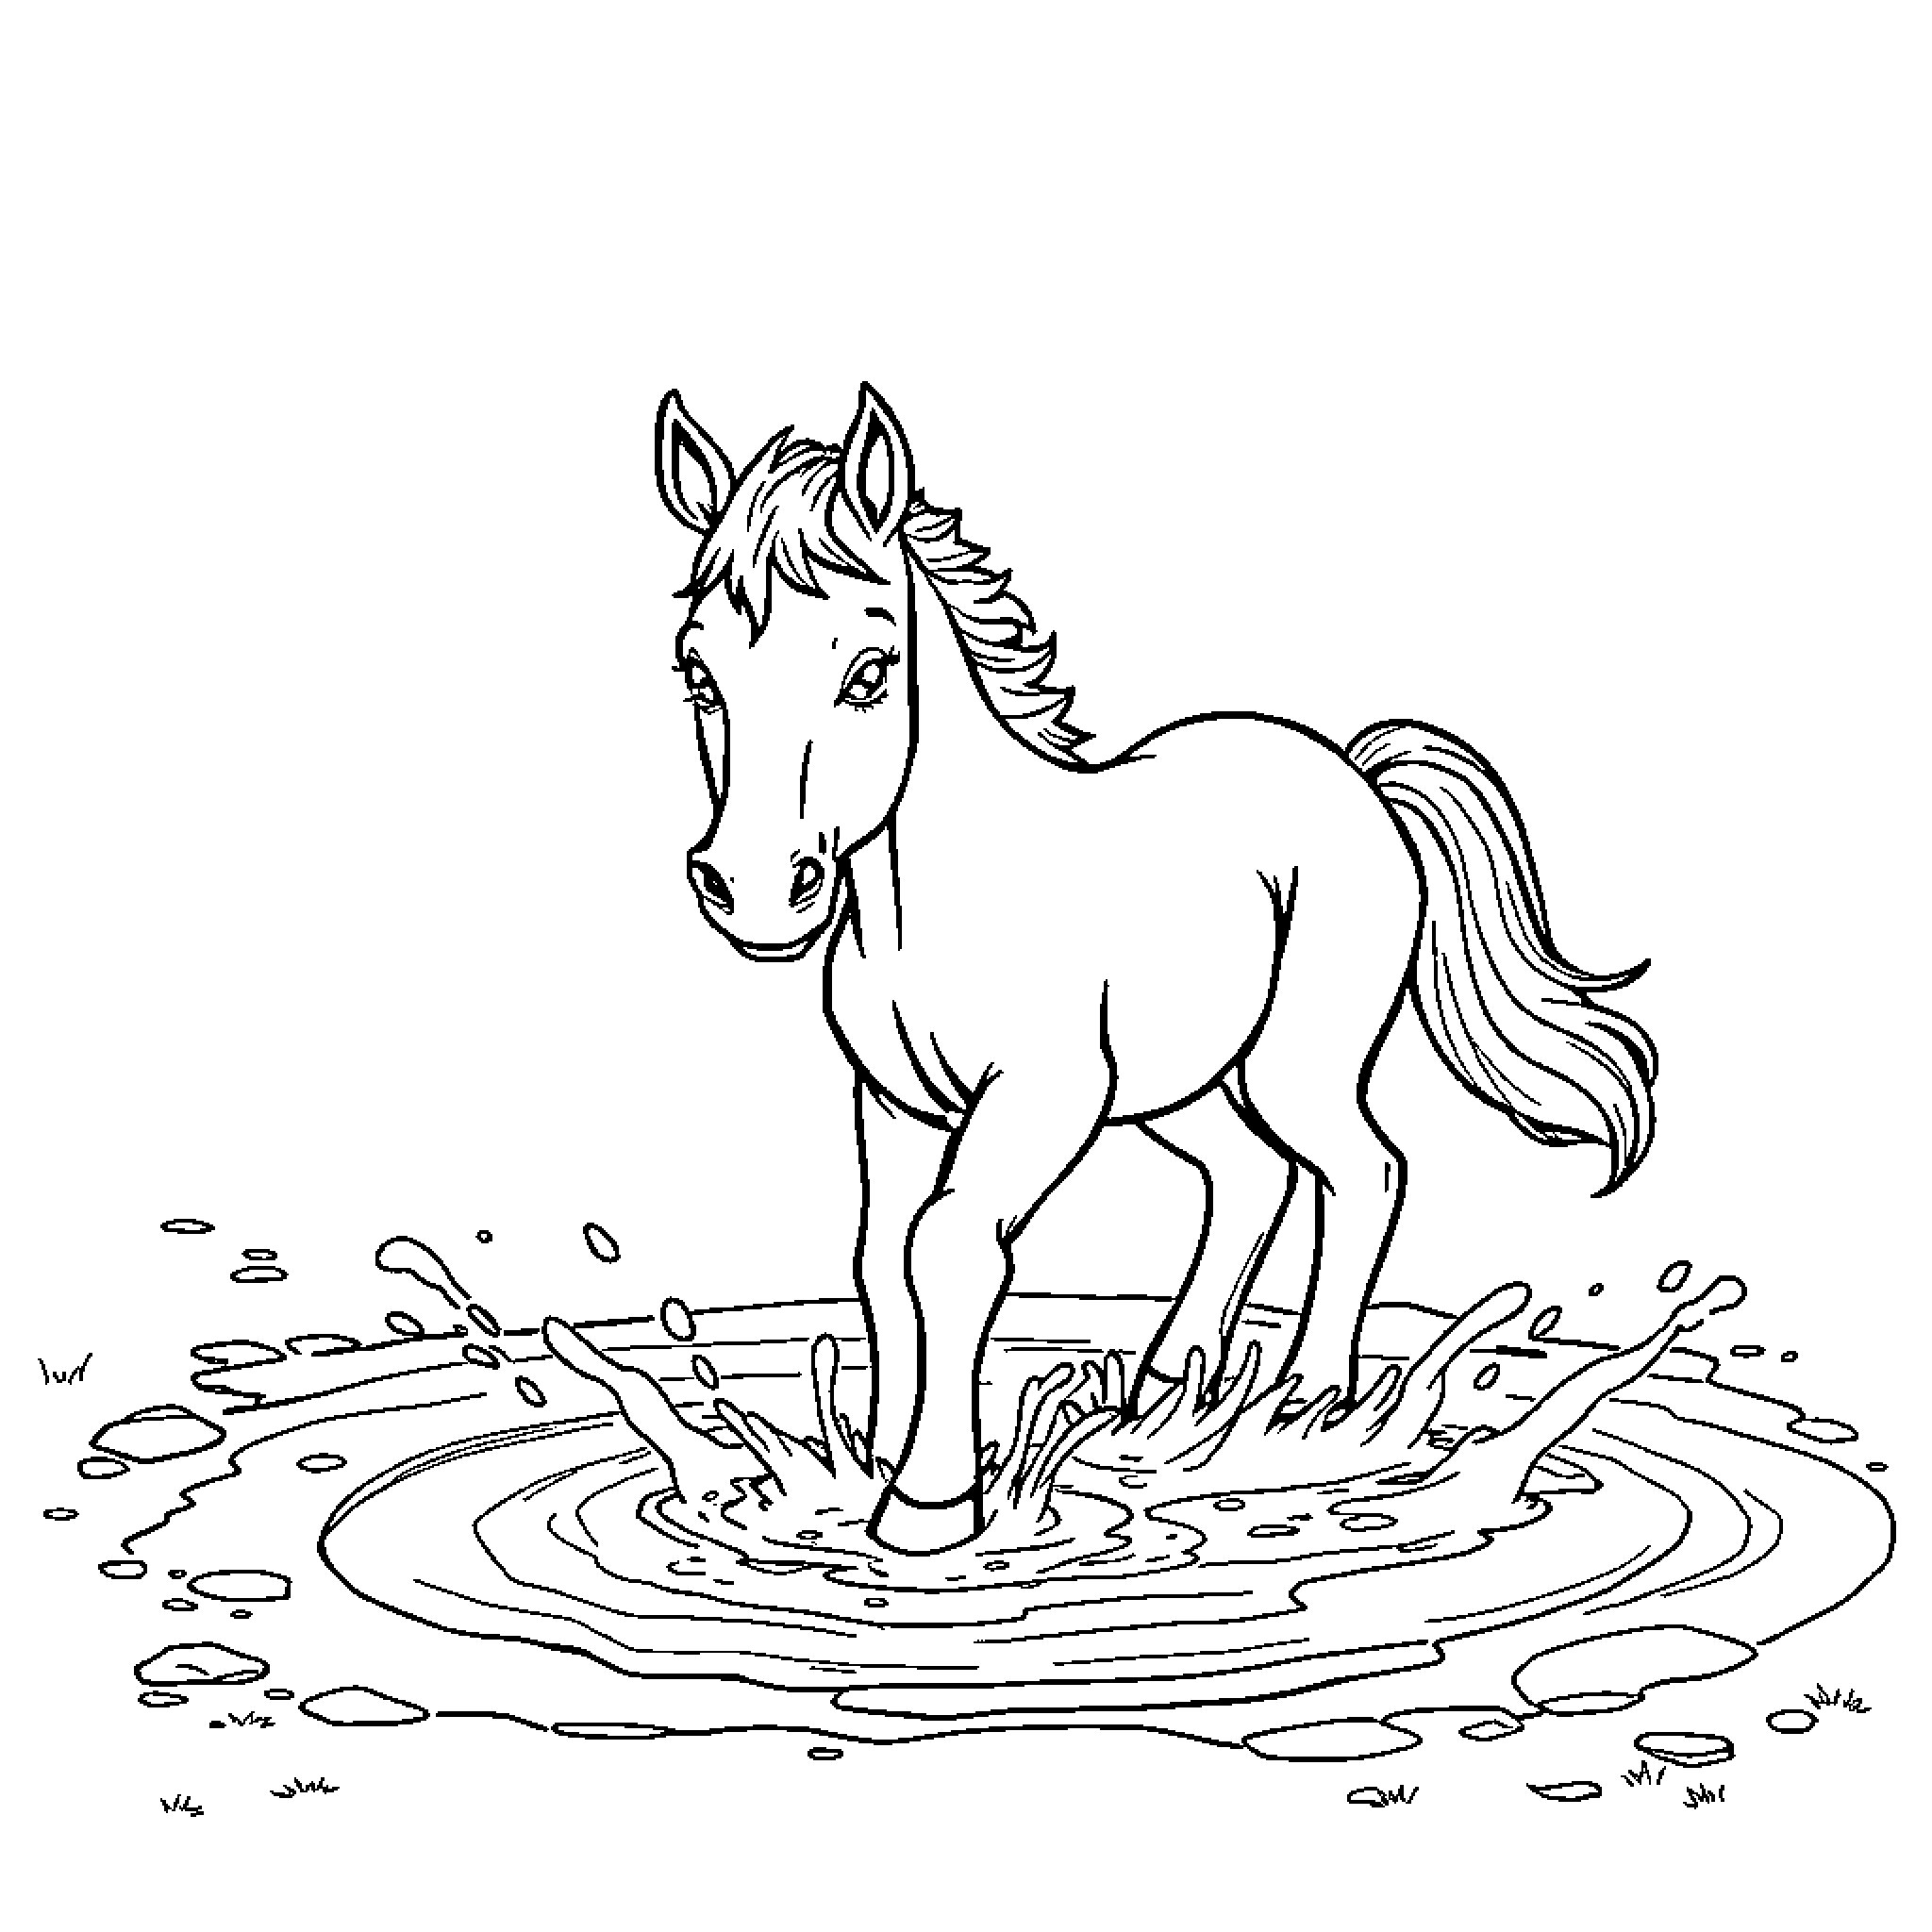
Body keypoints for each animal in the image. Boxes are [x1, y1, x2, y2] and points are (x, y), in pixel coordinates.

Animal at [652, 383, 1658, 1555]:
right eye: (697, 672)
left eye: (868, 671)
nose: (754, 887)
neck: (934, 899)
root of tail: (1352, 773)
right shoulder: (893, 1101)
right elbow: (878, 1258)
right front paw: (880, 1461)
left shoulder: (1039, 1095)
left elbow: (946, 1243)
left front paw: (930, 1503)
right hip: (1178, 1085)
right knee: (1249, 1175)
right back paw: (1163, 1391)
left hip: (1291, 1066)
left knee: (1363, 1169)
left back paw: (1311, 1397)